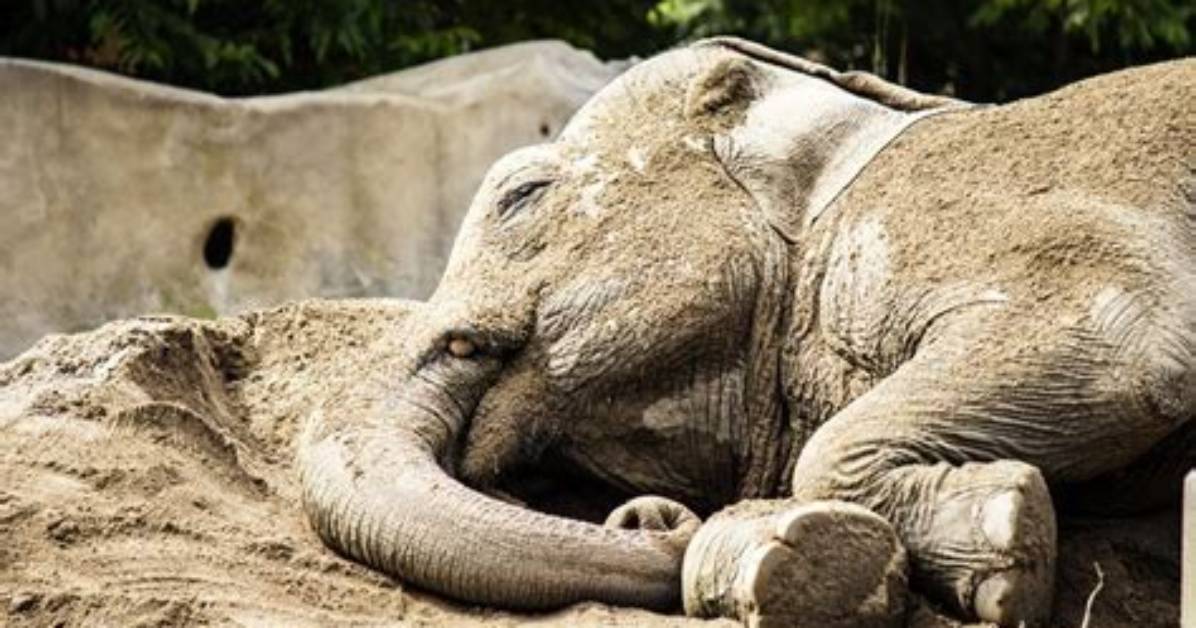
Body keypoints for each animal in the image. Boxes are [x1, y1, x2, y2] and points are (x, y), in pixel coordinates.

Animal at [297, 37, 1196, 627]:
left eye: (521, 196)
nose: (651, 519)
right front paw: (795, 558)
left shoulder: (989, 225)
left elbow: (1135, 355)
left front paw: (1009, 546)